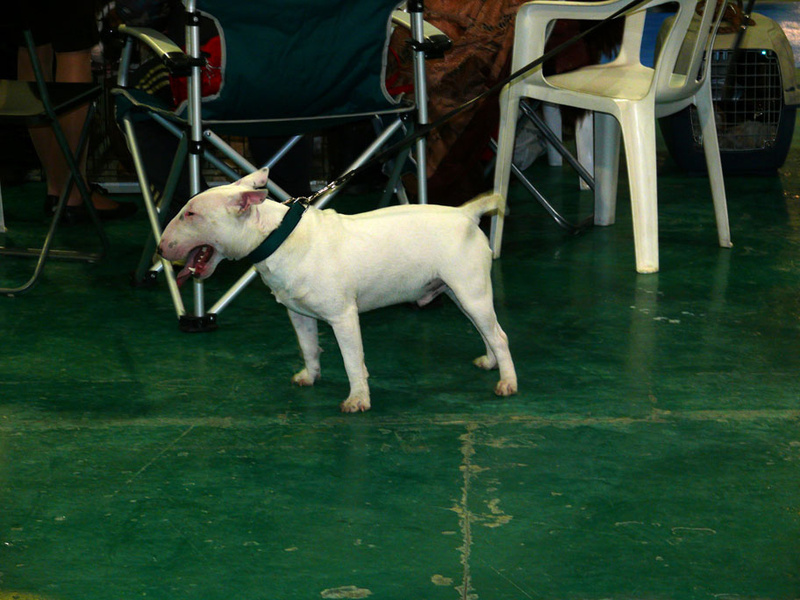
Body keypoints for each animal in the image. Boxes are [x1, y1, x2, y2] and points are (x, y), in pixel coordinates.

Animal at [158, 168, 517, 412]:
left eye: (191, 213)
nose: (160, 249)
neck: (277, 236)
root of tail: (466, 214)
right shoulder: (298, 314)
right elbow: (308, 347)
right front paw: (310, 375)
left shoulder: (344, 317)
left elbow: (352, 359)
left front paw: (357, 399)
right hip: (462, 294)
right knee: (486, 332)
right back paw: (490, 362)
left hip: (471, 291)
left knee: (500, 335)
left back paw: (507, 381)